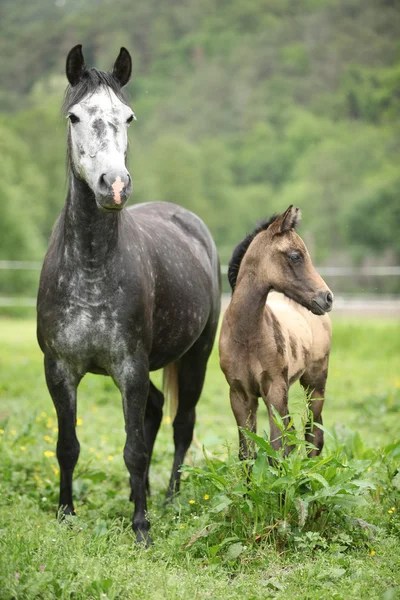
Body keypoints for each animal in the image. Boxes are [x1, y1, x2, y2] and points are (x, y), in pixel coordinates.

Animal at [220, 206, 332, 460]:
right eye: (295, 256)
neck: (247, 335)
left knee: (314, 433)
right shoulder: (239, 394)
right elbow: (247, 453)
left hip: (315, 383)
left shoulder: (275, 389)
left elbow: (278, 447)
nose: (327, 298)